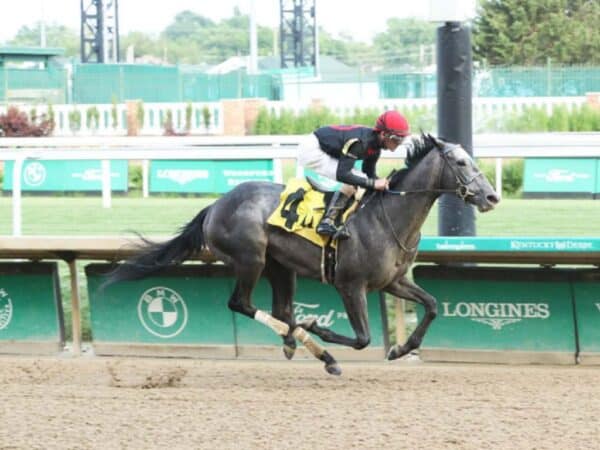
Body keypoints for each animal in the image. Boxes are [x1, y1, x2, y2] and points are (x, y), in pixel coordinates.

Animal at [104, 135, 502, 374]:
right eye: (461, 163)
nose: (492, 196)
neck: (389, 216)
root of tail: (216, 205)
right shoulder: (350, 285)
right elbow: (363, 338)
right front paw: (322, 329)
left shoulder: (392, 281)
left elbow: (432, 305)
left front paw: (401, 349)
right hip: (251, 260)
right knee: (242, 304)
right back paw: (311, 342)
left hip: (282, 268)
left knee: (281, 310)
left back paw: (304, 345)